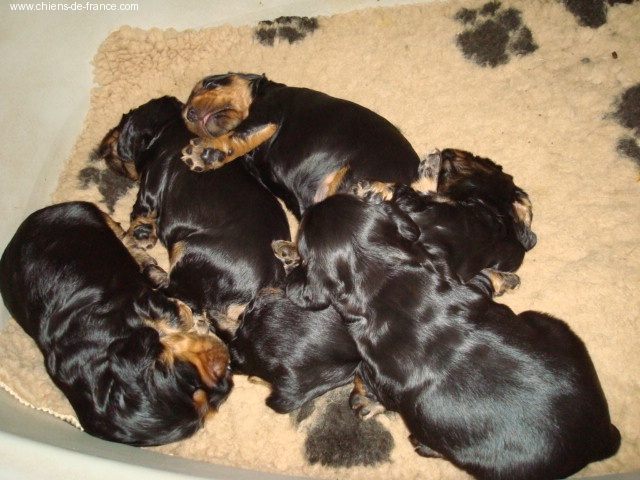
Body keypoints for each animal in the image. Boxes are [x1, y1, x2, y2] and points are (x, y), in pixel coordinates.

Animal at [0, 202, 234, 446]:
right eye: (194, 389)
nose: (228, 375)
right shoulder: (144, 301)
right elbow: (178, 315)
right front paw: (195, 321)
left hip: (88, 213)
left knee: (119, 231)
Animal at [95, 95, 290, 340]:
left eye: (120, 124)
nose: (100, 147)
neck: (169, 126)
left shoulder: (153, 178)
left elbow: (142, 210)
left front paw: (138, 237)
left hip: (187, 250)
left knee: (179, 293)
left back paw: (150, 270)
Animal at [180, 73, 422, 218]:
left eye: (210, 84)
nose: (187, 113)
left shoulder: (265, 113)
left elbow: (238, 136)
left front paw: (205, 153)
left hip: (351, 176)